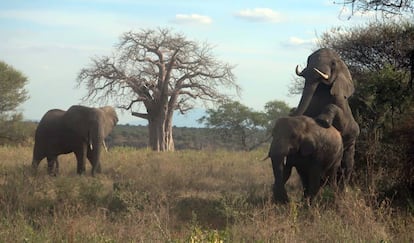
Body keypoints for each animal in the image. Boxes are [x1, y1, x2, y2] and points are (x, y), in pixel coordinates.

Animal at [292, 48, 360, 187]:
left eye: (333, 63)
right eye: (308, 59)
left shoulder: (340, 100)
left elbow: (342, 121)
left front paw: (322, 120)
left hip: (351, 144)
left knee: (346, 165)